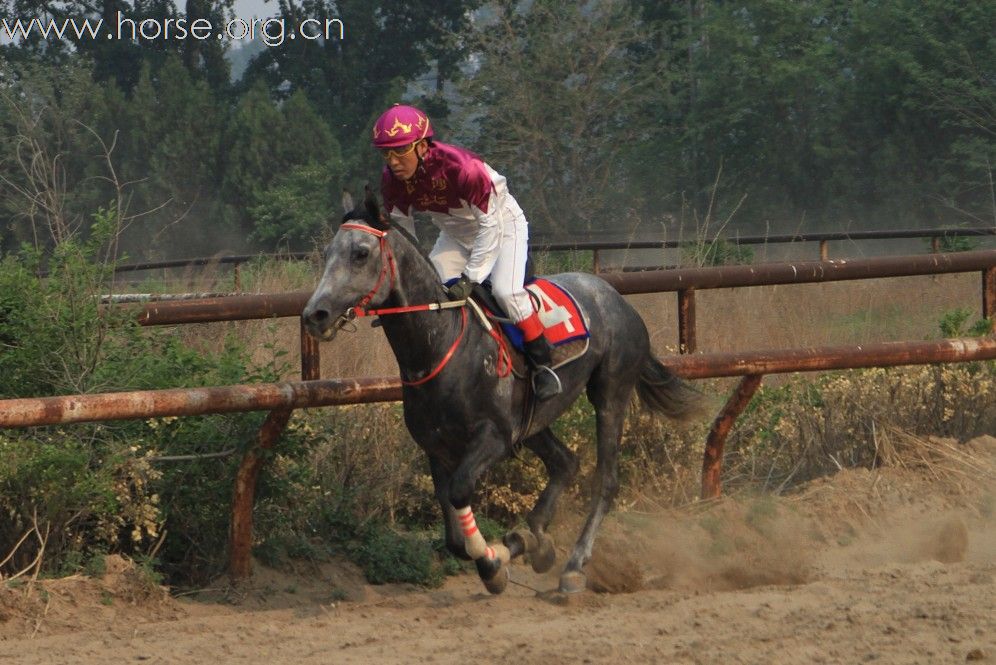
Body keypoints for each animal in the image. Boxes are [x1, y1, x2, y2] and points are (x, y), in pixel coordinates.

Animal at [304, 195, 700, 592]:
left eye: (361, 253)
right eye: (328, 252)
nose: (314, 315)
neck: (443, 344)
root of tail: (617, 298)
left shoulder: (494, 436)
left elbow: (461, 491)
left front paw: (494, 564)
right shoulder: (436, 447)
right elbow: (454, 538)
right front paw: (508, 550)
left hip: (610, 393)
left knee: (605, 480)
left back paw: (573, 566)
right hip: (534, 420)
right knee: (564, 462)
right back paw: (535, 540)